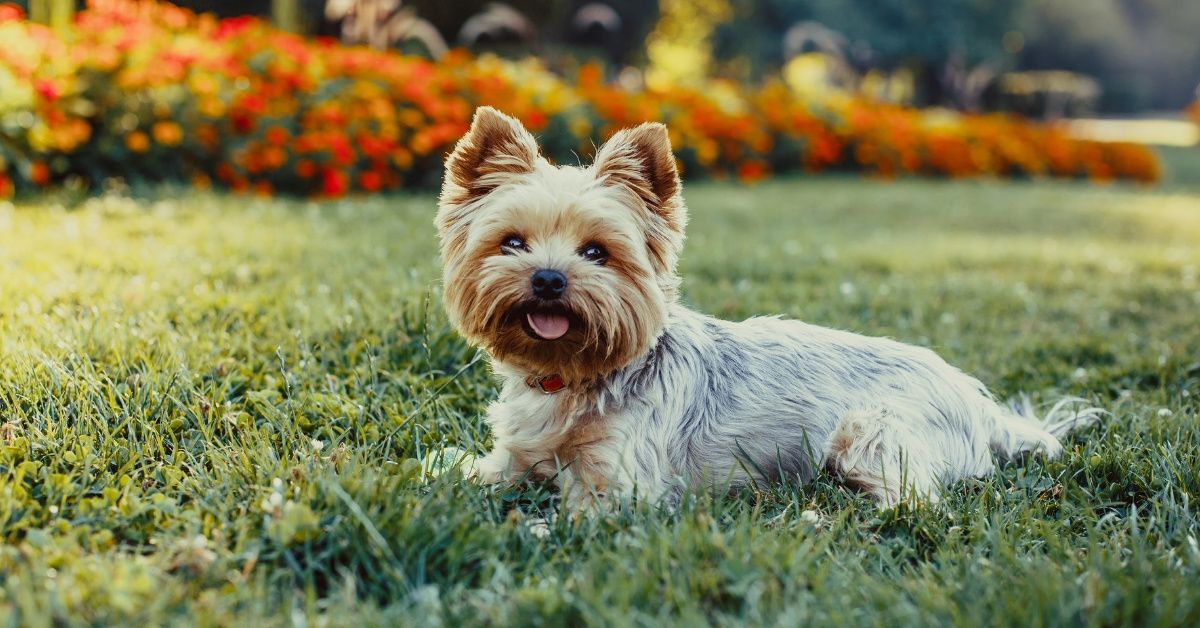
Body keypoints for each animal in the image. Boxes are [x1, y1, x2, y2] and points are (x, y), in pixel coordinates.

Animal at [436, 106, 1099, 511]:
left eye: (597, 252)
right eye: (512, 243)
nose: (549, 279)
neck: (571, 375)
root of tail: (981, 405)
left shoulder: (619, 485)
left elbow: (568, 516)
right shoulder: (512, 456)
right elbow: (468, 471)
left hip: (870, 433)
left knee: (915, 499)